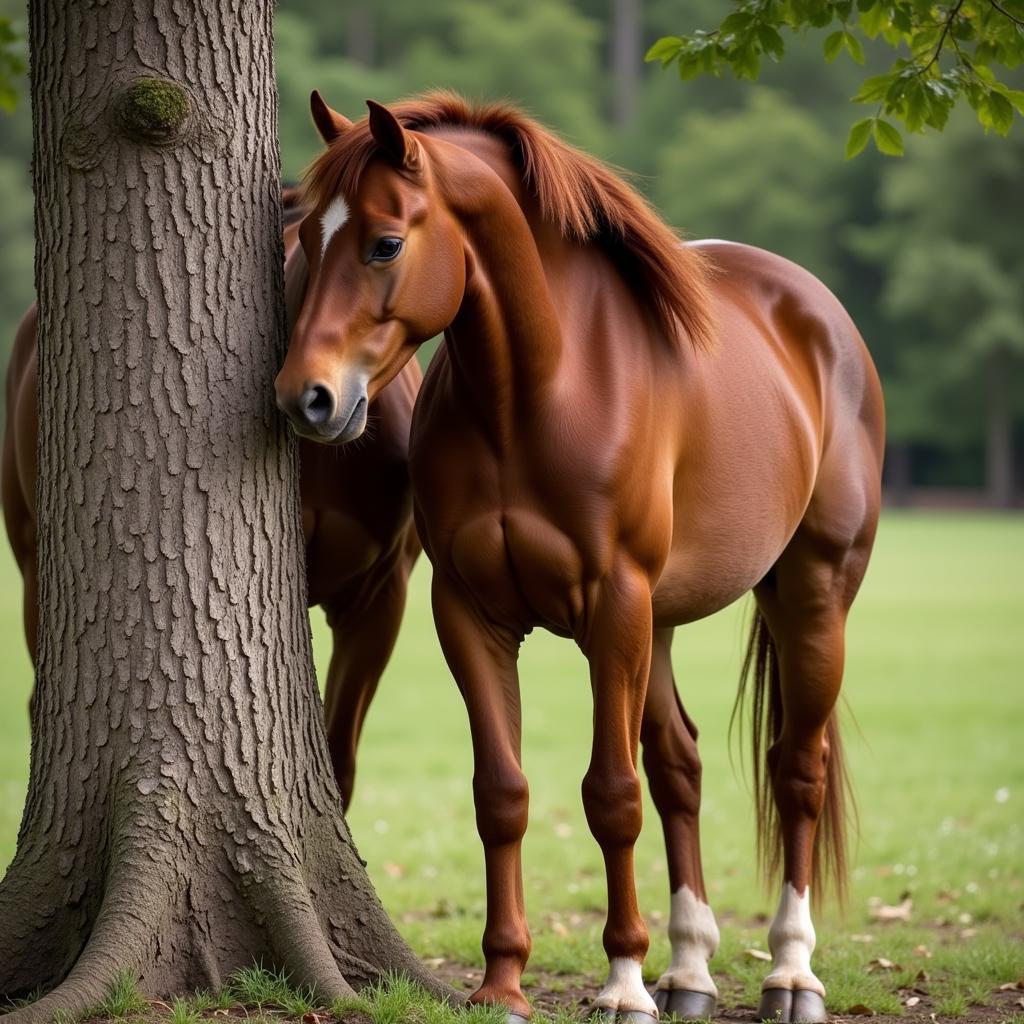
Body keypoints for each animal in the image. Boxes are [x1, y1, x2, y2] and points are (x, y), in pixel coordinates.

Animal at [278, 92, 888, 1019]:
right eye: (307, 238)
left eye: (384, 242)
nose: (305, 398)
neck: (538, 392)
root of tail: (820, 314)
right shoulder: (471, 613)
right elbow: (503, 794)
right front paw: (503, 983)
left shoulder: (612, 607)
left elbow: (611, 795)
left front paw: (622, 982)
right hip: (661, 625)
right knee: (681, 765)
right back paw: (690, 970)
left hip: (810, 593)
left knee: (797, 770)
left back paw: (790, 972)